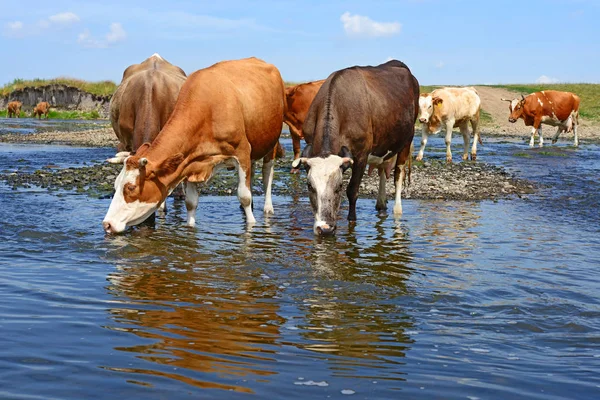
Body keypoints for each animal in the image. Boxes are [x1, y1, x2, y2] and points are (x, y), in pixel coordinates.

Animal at [103, 57, 286, 236]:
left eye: (131, 187)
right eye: (116, 185)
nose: (107, 224)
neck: (208, 110)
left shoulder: (241, 151)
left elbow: (244, 196)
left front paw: (251, 225)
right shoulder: (189, 161)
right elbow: (191, 203)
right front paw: (190, 229)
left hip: (271, 143)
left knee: (267, 174)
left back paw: (268, 208)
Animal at [292, 59, 420, 234]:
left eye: (339, 186)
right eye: (310, 186)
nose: (325, 229)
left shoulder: (361, 156)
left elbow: (352, 190)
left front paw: (351, 221)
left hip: (407, 139)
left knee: (398, 174)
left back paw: (397, 210)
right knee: (382, 169)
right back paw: (381, 204)